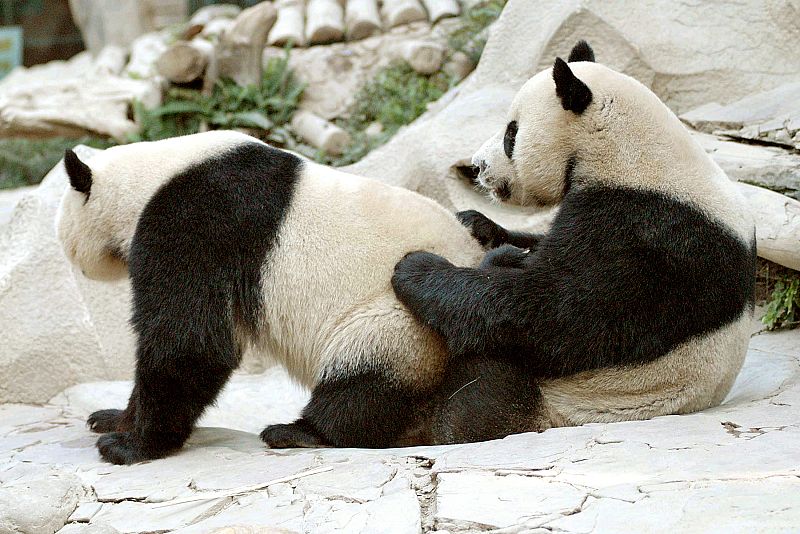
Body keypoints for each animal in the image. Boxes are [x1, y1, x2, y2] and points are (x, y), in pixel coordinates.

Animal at [56, 130, 484, 464]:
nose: (75, 262)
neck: (152, 176)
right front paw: (110, 417)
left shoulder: (196, 221)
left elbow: (191, 342)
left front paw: (129, 445)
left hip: (399, 317)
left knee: (367, 378)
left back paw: (301, 432)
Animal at [393, 41, 757, 444]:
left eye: (510, 135)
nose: (478, 166)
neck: (631, 150)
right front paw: (476, 224)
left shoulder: (645, 232)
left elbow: (551, 313)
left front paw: (416, 268)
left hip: (565, 403)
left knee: (485, 387)